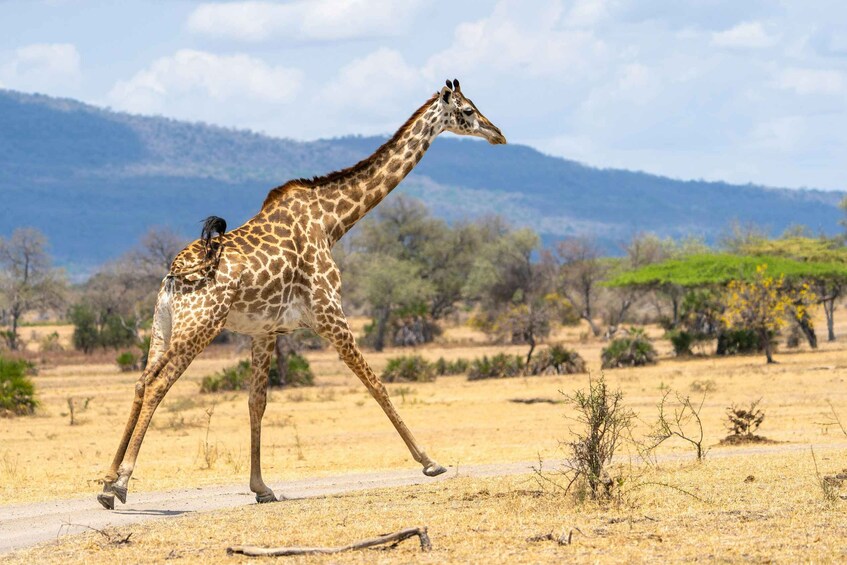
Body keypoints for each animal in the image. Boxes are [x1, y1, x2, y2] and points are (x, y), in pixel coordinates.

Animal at [97, 79, 506, 510]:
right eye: (467, 110)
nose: (498, 133)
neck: (332, 221)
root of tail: (175, 273)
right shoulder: (329, 313)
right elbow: (376, 383)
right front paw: (430, 461)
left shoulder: (265, 331)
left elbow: (256, 402)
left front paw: (261, 487)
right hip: (200, 326)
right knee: (158, 385)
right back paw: (121, 483)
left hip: (164, 326)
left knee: (141, 381)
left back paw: (107, 482)